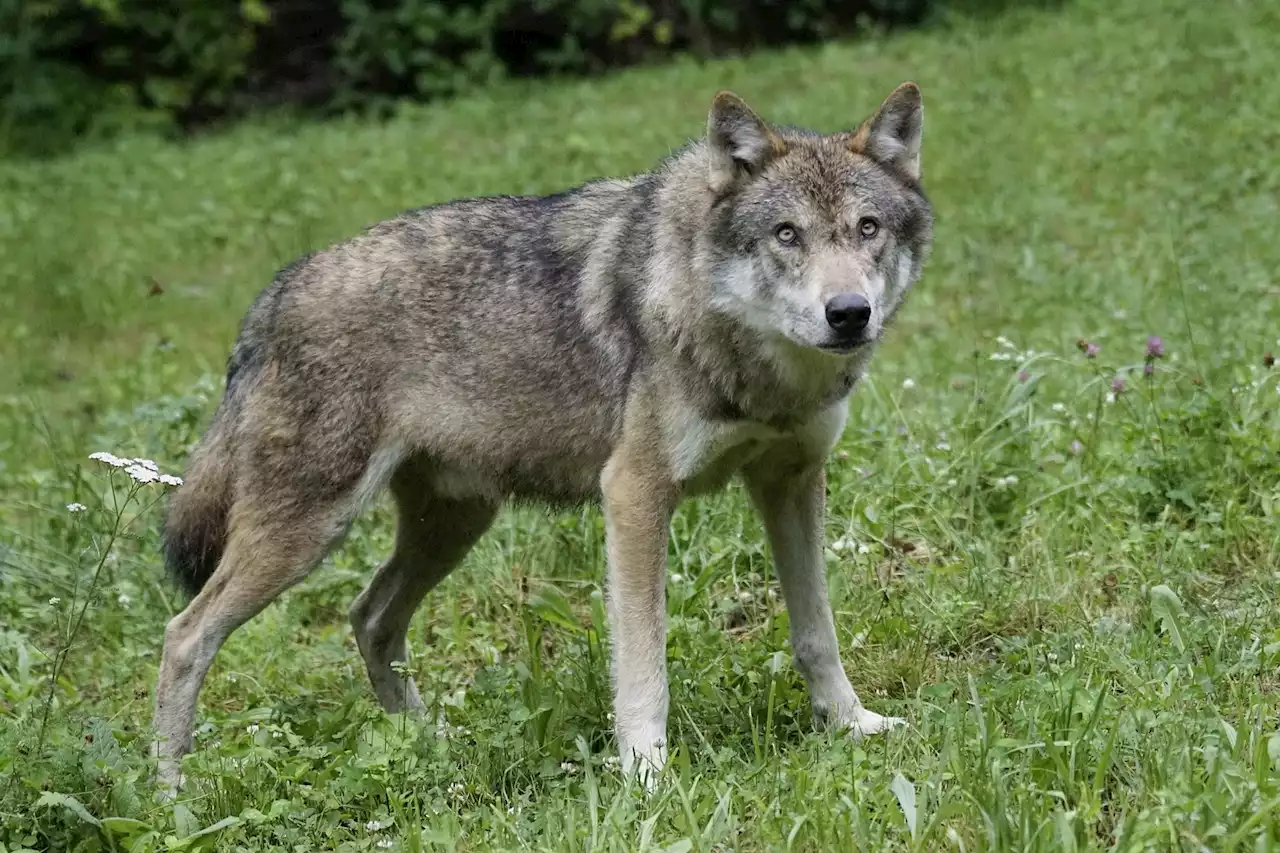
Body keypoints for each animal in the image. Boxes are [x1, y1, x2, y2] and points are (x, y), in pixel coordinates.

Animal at [152, 83, 931, 788]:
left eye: (867, 228)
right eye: (786, 235)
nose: (849, 313)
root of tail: (272, 294)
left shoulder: (791, 482)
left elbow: (816, 632)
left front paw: (852, 724)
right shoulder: (635, 495)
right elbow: (643, 662)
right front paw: (647, 775)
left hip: (451, 525)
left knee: (370, 617)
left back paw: (430, 745)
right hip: (309, 534)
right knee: (184, 635)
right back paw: (169, 795)